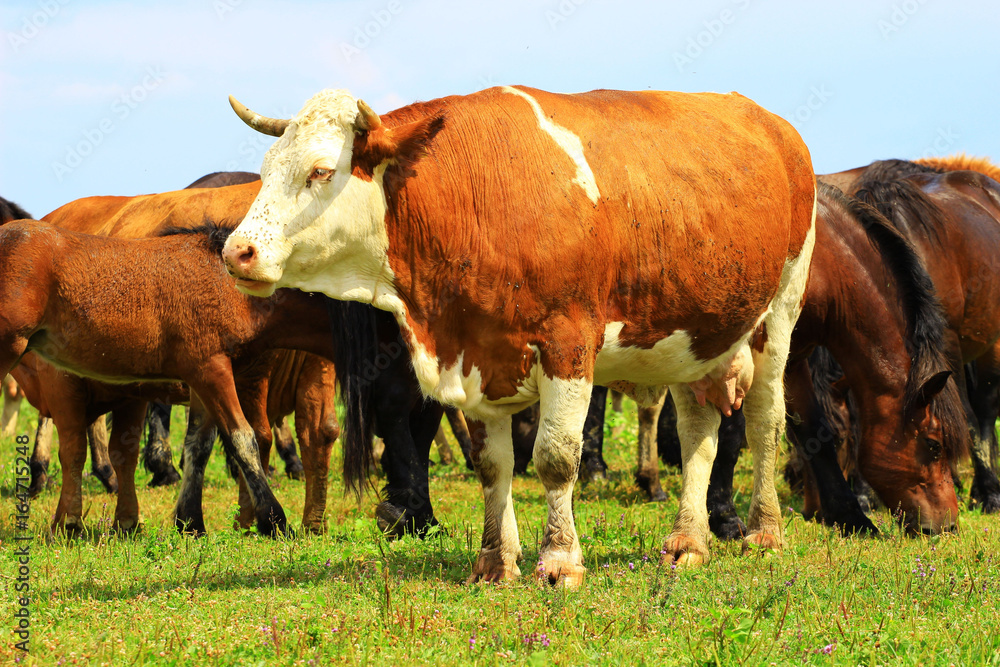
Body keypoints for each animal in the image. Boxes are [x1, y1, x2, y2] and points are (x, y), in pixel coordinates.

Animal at [223, 86, 816, 588]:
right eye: (267, 170)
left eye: (321, 171)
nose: (236, 251)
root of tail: (776, 125)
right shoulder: (480, 356)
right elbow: (492, 465)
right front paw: (494, 561)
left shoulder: (567, 344)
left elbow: (554, 457)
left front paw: (559, 561)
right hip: (694, 338)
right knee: (698, 431)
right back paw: (688, 540)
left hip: (779, 314)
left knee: (765, 423)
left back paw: (765, 530)